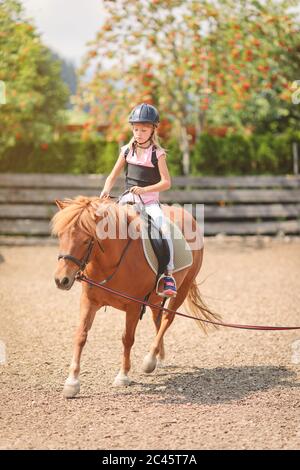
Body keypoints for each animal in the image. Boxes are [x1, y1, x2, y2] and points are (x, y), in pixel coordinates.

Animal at [51, 195, 220, 396]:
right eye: (60, 236)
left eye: (86, 240)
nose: (61, 280)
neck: (110, 262)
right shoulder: (88, 301)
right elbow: (80, 336)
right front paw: (72, 383)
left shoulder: (133, 306)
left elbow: (127, 339)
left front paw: (123, 376)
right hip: (155, 297)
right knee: (157, 318)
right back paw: (158, 358)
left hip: (183, 288)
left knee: (167, 319)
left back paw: (150, 359)